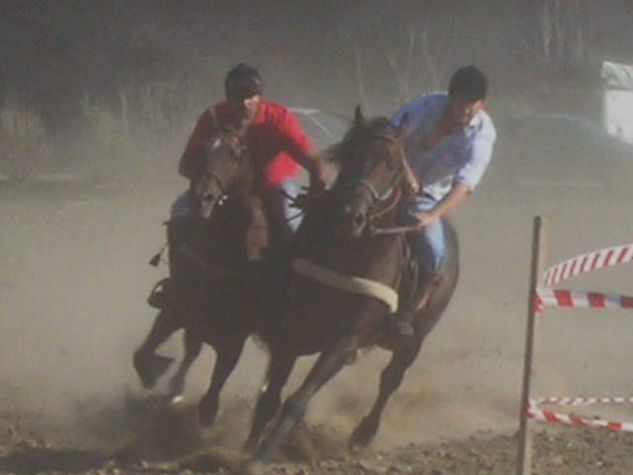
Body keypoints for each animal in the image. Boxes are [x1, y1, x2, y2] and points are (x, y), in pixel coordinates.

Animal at [133, 124, 274, 426]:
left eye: (234, 154)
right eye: (201, 149)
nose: (203, 197)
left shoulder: (234, 338)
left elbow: (212, 395)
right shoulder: (176, 309)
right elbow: (145, 354)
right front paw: (158, 376)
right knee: (191, 350)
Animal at [239, 107, 456, 472]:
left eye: (394, 166)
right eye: (351, 155)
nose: (350, 216)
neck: (350, 256)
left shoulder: (343, 342)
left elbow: (298, 400)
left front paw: (264, 455)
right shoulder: (291, 330)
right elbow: (271, 395)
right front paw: (249, 448)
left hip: (414, 339)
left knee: (391, 380)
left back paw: (363, 434)